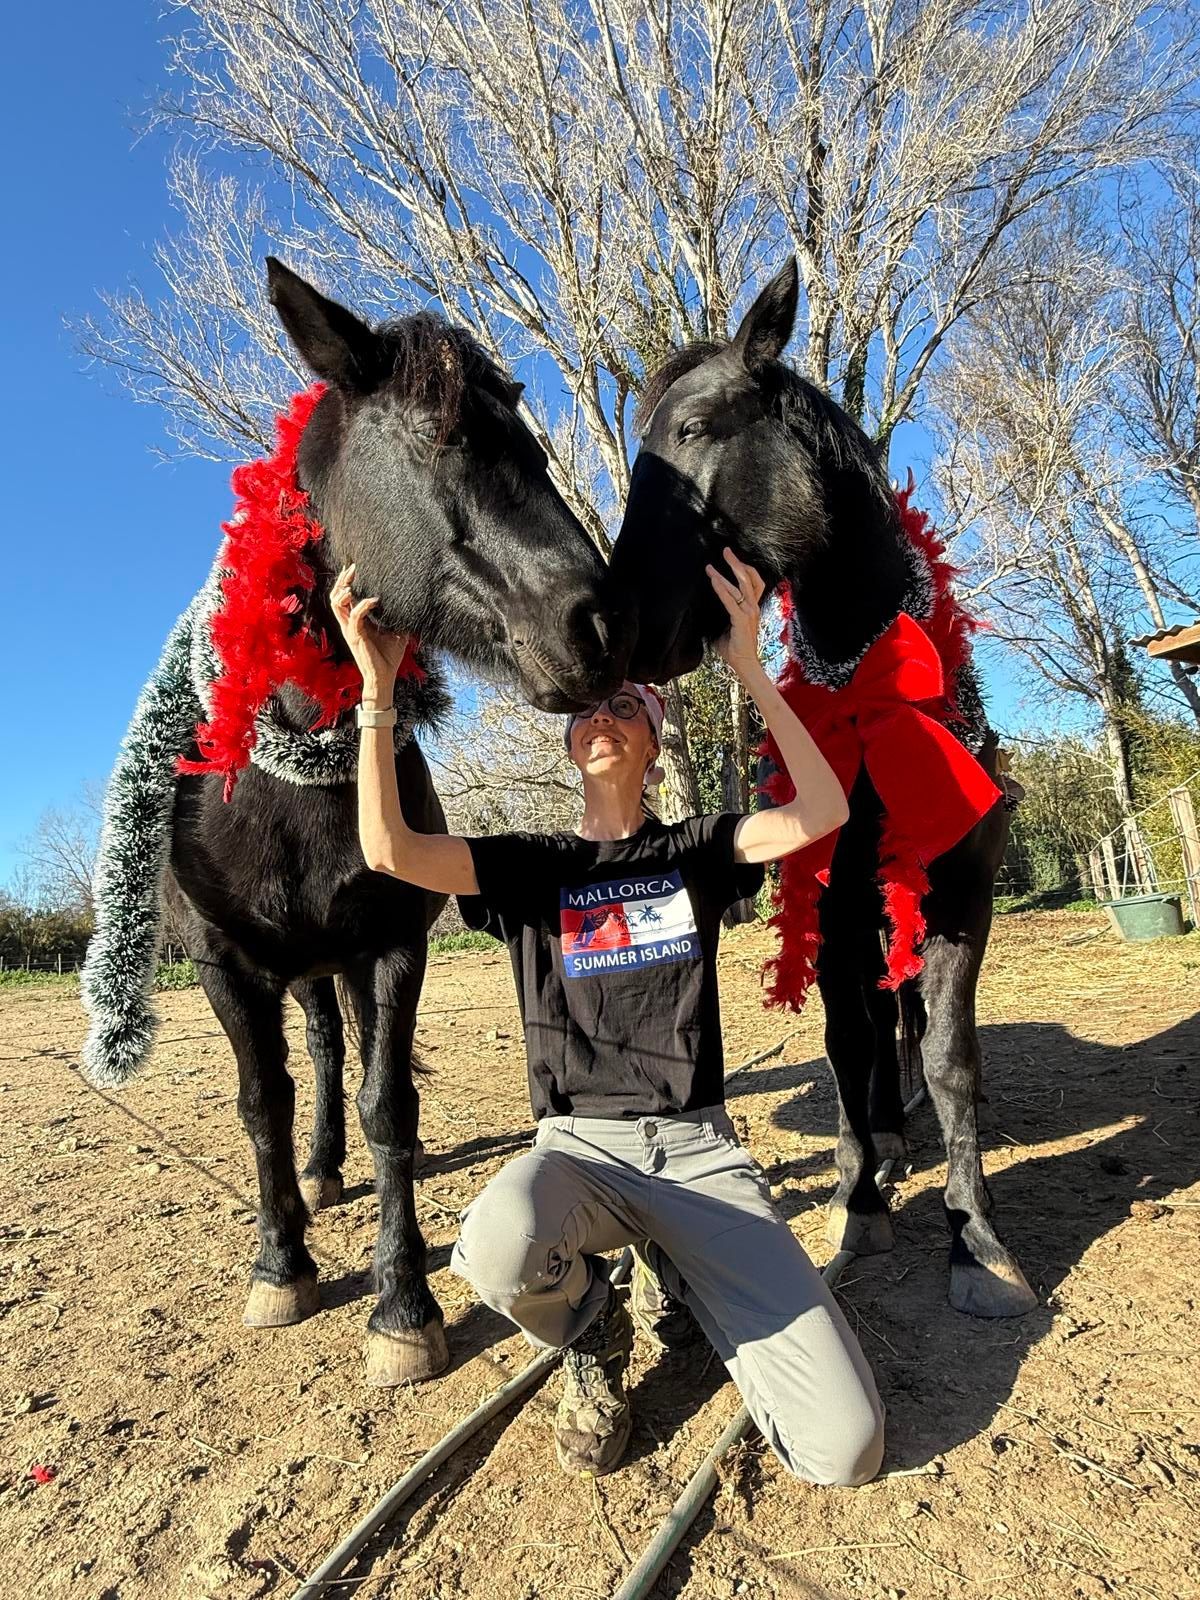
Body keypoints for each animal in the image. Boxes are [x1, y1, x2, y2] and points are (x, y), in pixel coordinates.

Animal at [105, 259, 631, 1386]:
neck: (294, 781)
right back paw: (317, 1172)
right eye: (442, 435)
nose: (604, 623)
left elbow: (390, 1104)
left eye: (522, 429)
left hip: (338, 961)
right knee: (313, 1058)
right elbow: (259, 1107)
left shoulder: (392, 947)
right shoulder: (222, 964)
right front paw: (281, 1262)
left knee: (341, 1052)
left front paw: (402, 1307)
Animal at [609, 260, 1036, 1320]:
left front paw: (978, 1240)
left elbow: (951, 1057)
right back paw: (876, 1142)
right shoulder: (834, 905)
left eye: (693, 429)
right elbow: (846, 1043)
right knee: (875, 1029)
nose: (620, 624)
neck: (865, 694)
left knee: (908, 1026)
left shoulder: (960, 899)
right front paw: (859, 1205)